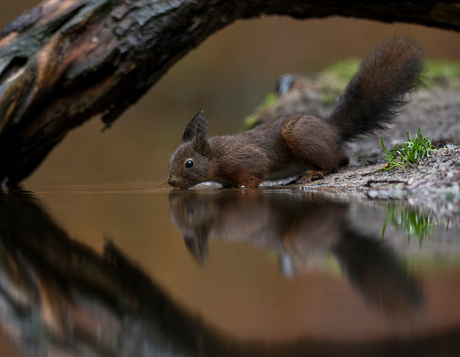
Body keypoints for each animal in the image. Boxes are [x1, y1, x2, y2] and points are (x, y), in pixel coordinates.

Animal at [168, 36, 424, 189]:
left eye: (189, 163)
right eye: (170, 160)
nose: (170, 181)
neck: (217, 156)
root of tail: (331, 128)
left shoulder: (246, 161)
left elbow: (251, 177)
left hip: (296, 133)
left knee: (333, 161)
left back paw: (313, 173)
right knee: (342, 157)